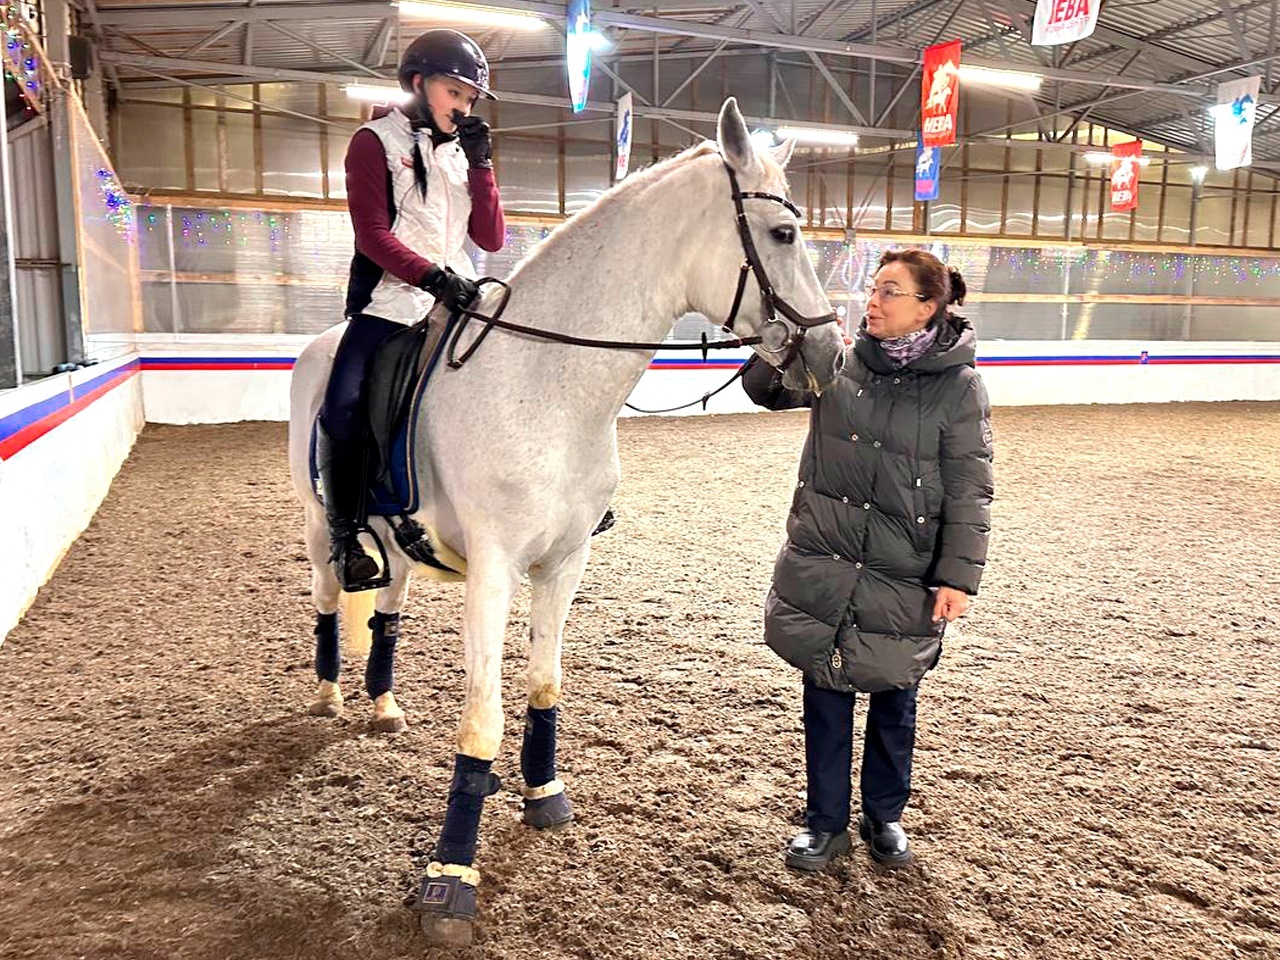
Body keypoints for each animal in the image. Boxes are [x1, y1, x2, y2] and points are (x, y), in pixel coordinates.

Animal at [286, 97, 846, 945]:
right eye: (782, 234)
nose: (830, 354)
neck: (546, 385)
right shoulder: (493, 574)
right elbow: (480, 721)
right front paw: (450, 881)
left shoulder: (565, 563)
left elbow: (545, 684)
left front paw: (544, 796)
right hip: (324, 529)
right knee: (328, 597)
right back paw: (327, 697)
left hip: (403, 548)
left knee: (387, 612)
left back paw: (382, 704)